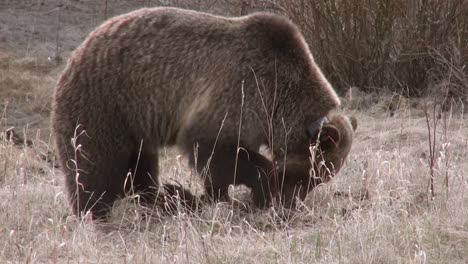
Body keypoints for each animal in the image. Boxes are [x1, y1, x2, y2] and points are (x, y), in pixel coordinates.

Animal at [52, 7, 352, 220]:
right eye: (309, 176)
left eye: (317, 180)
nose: (292, 203)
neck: (280, 103)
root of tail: (76, 54)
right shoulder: (241, 93)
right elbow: (217, 152)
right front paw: (258, 187)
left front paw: (211, 196)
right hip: (106, 104)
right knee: (94, 164)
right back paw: (96, 211)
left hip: (134, 124)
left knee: (139, 165)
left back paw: (156, 197)